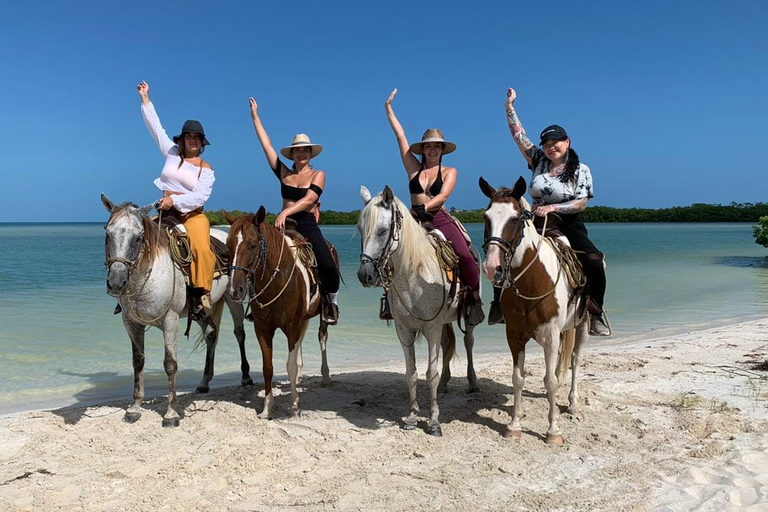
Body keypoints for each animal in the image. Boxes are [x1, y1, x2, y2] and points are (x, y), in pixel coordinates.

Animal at [100, 194, 250, 426]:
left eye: (138, 238)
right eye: (108, 234)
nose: (116, 283)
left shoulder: (170, 321)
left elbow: (170, 363)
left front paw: (171, 413)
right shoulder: (131, 323)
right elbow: (138, 361)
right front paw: (135, 407)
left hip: (233, 298)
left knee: (239, 333)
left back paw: (246, 377)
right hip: (200, 310)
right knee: (211, 335)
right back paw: (204, 382)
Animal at [222, 206, 336, 418]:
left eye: (252, 245)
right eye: (228, 246)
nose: (234, 290)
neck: (276, 279)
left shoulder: (291, 326)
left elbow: (289, 366)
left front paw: (294, 407)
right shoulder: (263, 329)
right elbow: (268, 367)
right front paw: (267, 408)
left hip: (322, 315)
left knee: (322, 337)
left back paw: (325, 377)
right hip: (303, 319)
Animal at [356, 186, 476, 438]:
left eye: (383, 230)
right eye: (360, 229)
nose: (365, 275)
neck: (414, 274)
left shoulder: (431, 328)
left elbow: (431, 373)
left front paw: (434, 422)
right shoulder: (404, 330)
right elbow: (411, 373)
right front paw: (412, 416)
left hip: (466, 317)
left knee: (468, 342)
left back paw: (473, 382)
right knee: (447, 344)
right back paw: (446, 384)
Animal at [480, 176, 588, 444]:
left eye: (515, 219)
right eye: (486, 217)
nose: (492, 267)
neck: (533, 279)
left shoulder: (550, 336)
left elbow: (550, 381)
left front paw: (553, 431)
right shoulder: (514, 335)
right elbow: (518, 379)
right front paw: (514, 425)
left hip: (583, 325)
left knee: (575, 360)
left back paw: (573, 405)